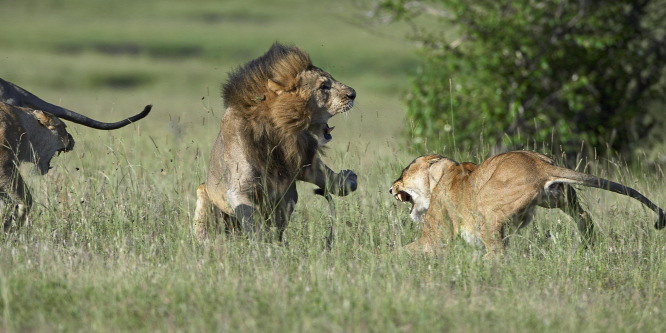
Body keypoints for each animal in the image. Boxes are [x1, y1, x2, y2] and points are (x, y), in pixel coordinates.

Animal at [192, 42, 358, 240]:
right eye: (324, 86)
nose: (353, 94)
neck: (279, 133)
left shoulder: (301, 163)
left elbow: (326, 175)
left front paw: (348, 179)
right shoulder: (240, 190)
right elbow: (253, 222)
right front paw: (262, 245)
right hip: (205, 194)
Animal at [386, 150, 664, 256]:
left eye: (403, 173)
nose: (390, 188)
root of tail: (540, 165)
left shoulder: (434, 237)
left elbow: (404, 250)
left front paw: (384, 261)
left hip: (488, 209)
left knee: (497, 251)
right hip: (557, 198)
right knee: (585, 217)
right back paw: (584, 247)